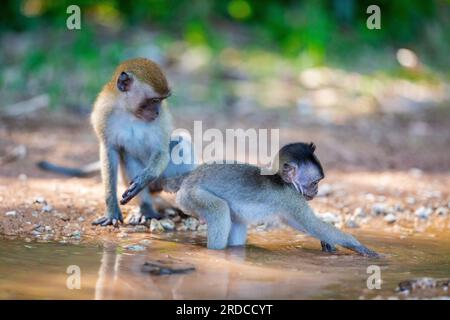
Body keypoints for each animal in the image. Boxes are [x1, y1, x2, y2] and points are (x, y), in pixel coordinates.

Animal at [134, 142, 380, 258]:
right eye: (314, 182)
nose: (316, 192)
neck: (281, 180)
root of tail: (191, 176)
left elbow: (308, 226)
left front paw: (328, 243)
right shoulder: (290, 198)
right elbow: (312, 225)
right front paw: (360, 247)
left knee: (236, 224)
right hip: (191, 195)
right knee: (220, 210)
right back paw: (215, 253)